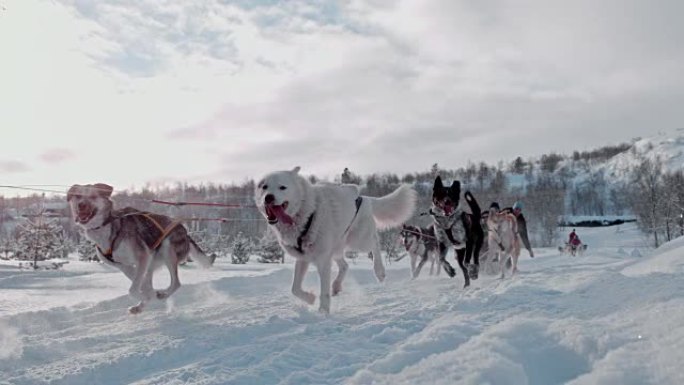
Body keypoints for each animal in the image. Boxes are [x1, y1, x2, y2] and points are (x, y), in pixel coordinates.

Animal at [255, 166, 416, 312]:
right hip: (336, 249)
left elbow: (324, 292)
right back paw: (337, 286)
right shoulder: (303, 259)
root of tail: (363, 198)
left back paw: (380, 271)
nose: (268, 197)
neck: (306, 213)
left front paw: (323, 313)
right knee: (345, 265)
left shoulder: (323, 261)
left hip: (359, 241)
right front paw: (310, 298)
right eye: (264, 187)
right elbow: (294, 288)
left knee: (375, 243)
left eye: (282, 187)